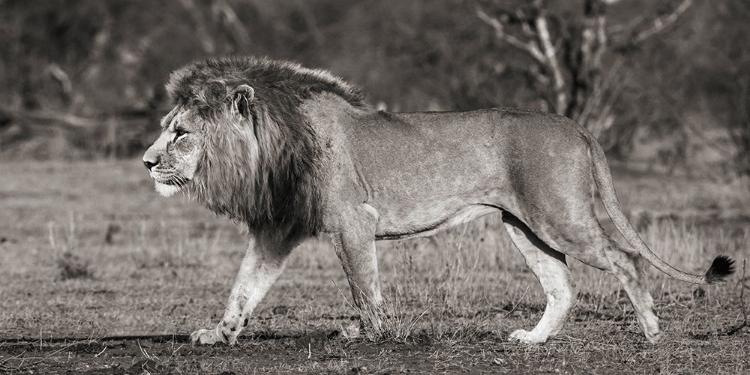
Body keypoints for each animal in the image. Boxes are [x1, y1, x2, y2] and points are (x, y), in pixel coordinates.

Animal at [144, 56, 736, 346]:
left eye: (181, 134)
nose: (147, 162)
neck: (273, 146)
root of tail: (576, 125)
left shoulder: (352, 221)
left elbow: (364, 288)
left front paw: (370, 334)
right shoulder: (278, 228)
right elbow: (243, 288)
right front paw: (218, 334)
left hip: (559, 215)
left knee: (626, 259)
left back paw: (652, 331)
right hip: (525, 225)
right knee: (562, 285)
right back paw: (533, 340)